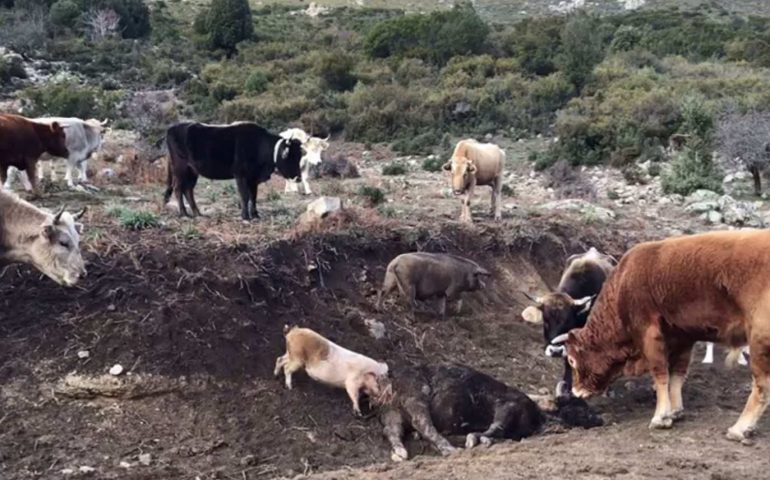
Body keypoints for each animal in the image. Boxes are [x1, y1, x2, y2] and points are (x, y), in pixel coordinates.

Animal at [161, 123, 300, 222]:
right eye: (291, 157)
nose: (298, 177)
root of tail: (172, 128)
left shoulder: (253, 178)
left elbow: (253, 196)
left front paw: (255, 215)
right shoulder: (241, 175)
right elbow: (245, 195)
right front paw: (245, 216)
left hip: (192, 171)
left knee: (188, 190)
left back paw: (197, 213)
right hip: (180, 169)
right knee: (178, 188)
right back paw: (184, 214)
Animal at [552, 230, 768, 442]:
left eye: (571, 359)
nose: (576, 391)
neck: (624, 281)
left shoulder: (649, 332)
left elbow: (660, 373)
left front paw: (661, 417)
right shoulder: (683, 336)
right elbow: (677, 373)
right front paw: (675, 411)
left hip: (759, 340)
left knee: (762, 385)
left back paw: (739, 429)